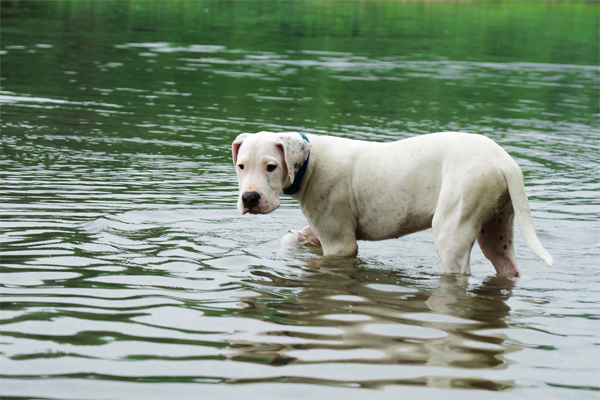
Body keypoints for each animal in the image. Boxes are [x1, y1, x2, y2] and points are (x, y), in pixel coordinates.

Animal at [233, 130, 552, 276]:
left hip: (452, 232)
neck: (310, 163)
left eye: (271, 167)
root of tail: (504, 161)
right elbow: (293, 239)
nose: (249, 198)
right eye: (240, 166)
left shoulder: (340, 244)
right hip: (496, 230)